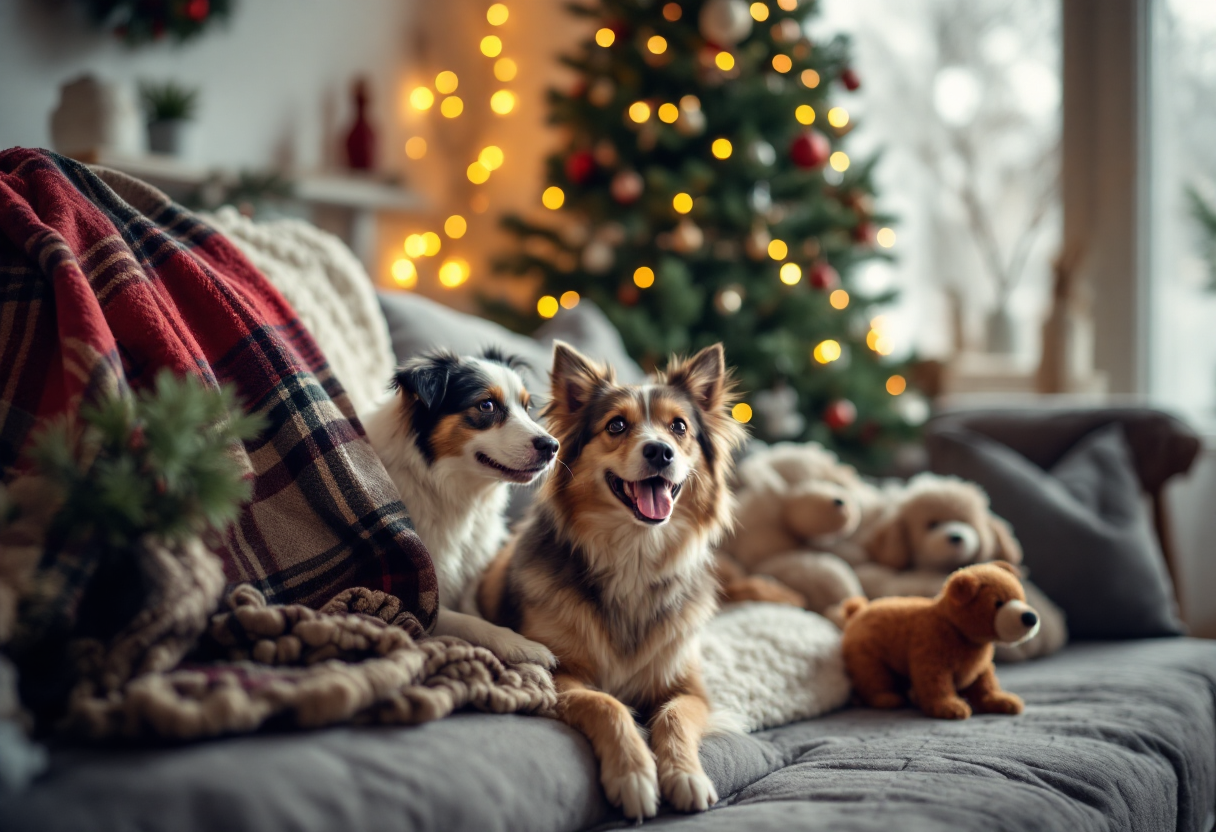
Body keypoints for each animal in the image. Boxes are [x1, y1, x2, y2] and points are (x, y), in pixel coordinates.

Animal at [364, 347, 559, 666]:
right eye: (487, 405)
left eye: (527, 407)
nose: (553, 446)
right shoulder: (422, 599)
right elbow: (471, 622)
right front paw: (522, 645)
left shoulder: (469, 575)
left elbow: (472, 610)